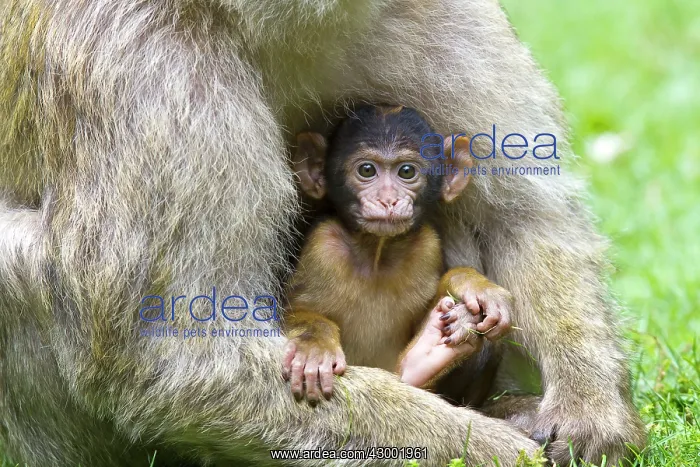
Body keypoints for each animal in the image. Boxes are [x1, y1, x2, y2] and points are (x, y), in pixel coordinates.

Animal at [281, 105, 513, 403]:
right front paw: (313, 345)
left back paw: (424, 356)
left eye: (406, 171)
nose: (388, 200)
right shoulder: (323, 247)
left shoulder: (426, 247)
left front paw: (473, 284)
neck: (377, 254)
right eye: (367, 169)